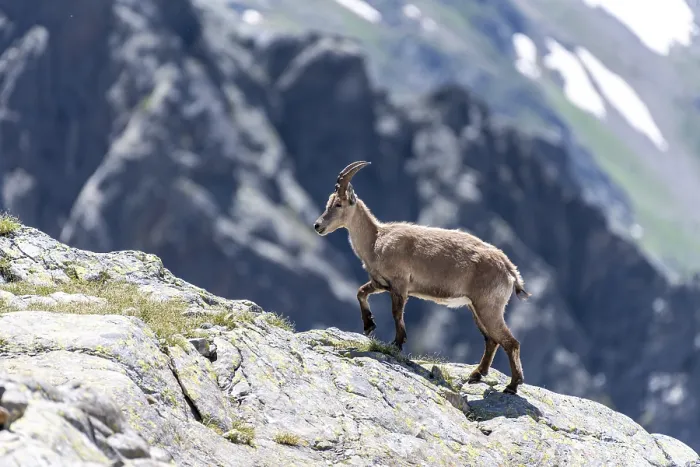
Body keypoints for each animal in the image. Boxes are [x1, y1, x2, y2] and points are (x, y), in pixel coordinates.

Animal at [313, 161, 531, 394]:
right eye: (328, 203)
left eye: (338, 204)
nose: (318, 226)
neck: (376, 240)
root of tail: (509, 269)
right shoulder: (381, 283)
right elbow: (361, 292)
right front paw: (369, 325)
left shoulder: (400, 284)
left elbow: (396, 312)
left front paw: (397, 343)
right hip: (476, 306)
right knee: (491, 339)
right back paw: (476, 375)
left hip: (489, 306)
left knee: (510, 341)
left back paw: (512, 385)